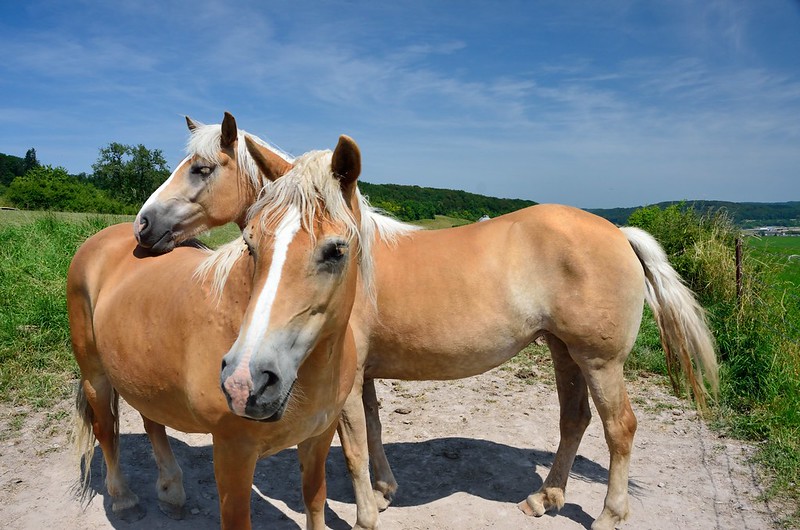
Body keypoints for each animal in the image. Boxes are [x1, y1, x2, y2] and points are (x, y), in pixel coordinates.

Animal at [70, 135, 364, 528]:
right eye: (251, 245)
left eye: (336, 251)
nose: (244, 382)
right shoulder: (232, 452)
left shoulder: (319, 438)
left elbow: (314, 502)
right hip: (95, 375)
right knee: (105, 429)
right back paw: (123, 499)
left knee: (152, 422)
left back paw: (171, 491)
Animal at [138, 116, 720, 528]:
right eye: (253, 241)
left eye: (202, 168)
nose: (143, 227)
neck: (360, 261)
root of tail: (618, 232)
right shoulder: (366, 375)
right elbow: (373, 428)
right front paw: (385, 491)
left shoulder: (344, 378)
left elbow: (352, 444)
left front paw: (367, 508)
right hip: (564, 350)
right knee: (574, 420)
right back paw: (545, 497)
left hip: (600, 360)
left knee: (620, 427)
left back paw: (607, 516)